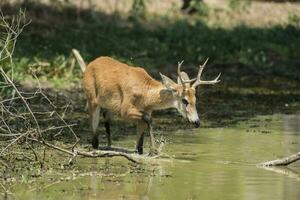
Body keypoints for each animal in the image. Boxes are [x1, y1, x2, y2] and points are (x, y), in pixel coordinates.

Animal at [71, 49, 219, 155]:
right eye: (185, 100)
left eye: (195, 100)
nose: (197, 122)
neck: (145, 95)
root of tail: (88, 66)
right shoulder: (125, 109)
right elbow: (149, 119)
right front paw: (154, 150)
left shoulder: (145, 111)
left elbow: (140, 145)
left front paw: (146, 150)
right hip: (92, 99)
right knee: (94, 136)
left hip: (108, 106)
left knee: (106, 122)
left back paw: (110, 146)